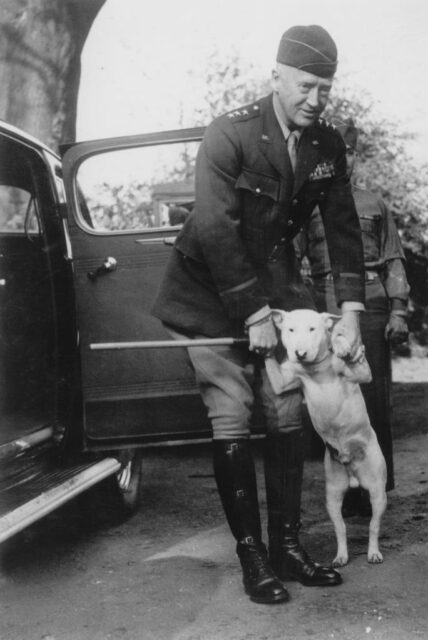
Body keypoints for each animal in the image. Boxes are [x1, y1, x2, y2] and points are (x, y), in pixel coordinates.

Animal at [266, 308, 386, 564]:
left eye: (313, 329)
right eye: (290, 329)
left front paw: (342, 345)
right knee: (340, 529)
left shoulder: (362, 374)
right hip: (332, 495)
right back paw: (341, 557)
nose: (300, 353)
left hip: (377, 492)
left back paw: (373, 552)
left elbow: (351, 356)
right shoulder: (283, 381)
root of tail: (353, 476)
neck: (315, 369)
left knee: (373, 525)